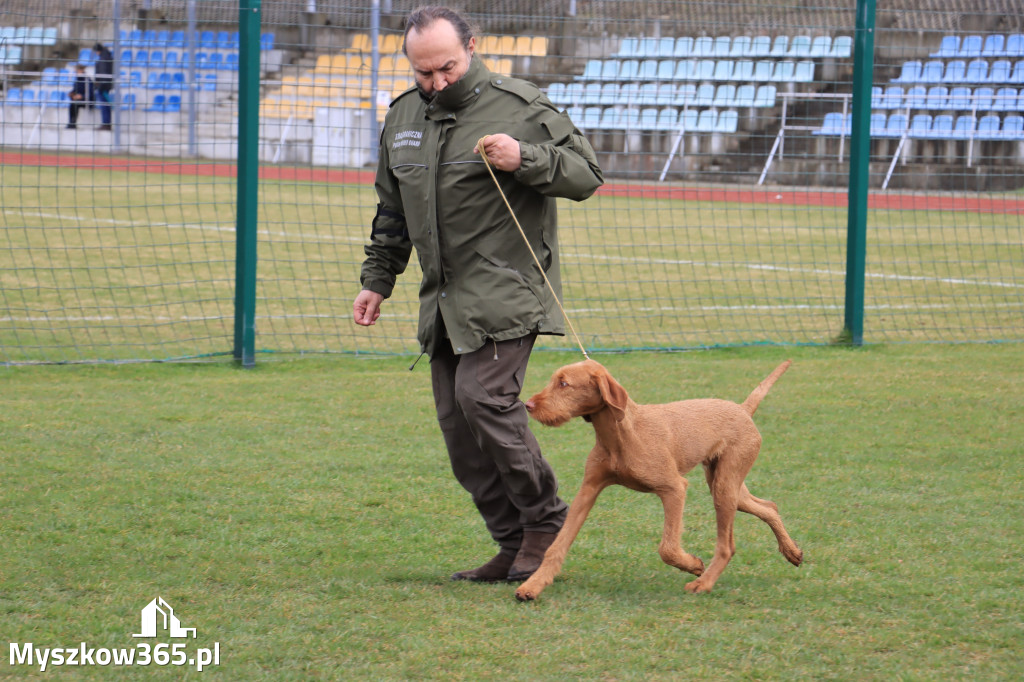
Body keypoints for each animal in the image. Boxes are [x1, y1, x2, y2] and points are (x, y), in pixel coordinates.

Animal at [516, 358, 802, 598]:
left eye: (564, 384)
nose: (528, 406)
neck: (620, 436)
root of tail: (743, 409)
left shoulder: (674, 488)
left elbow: (668, 548)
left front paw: (693, 565)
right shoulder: (588, 489)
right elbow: (557, 545)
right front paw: (533, 585)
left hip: (725, 486)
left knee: (727, 545)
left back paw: (703, 583)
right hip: (726, 483)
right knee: (769, 506)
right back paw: (791, 551)